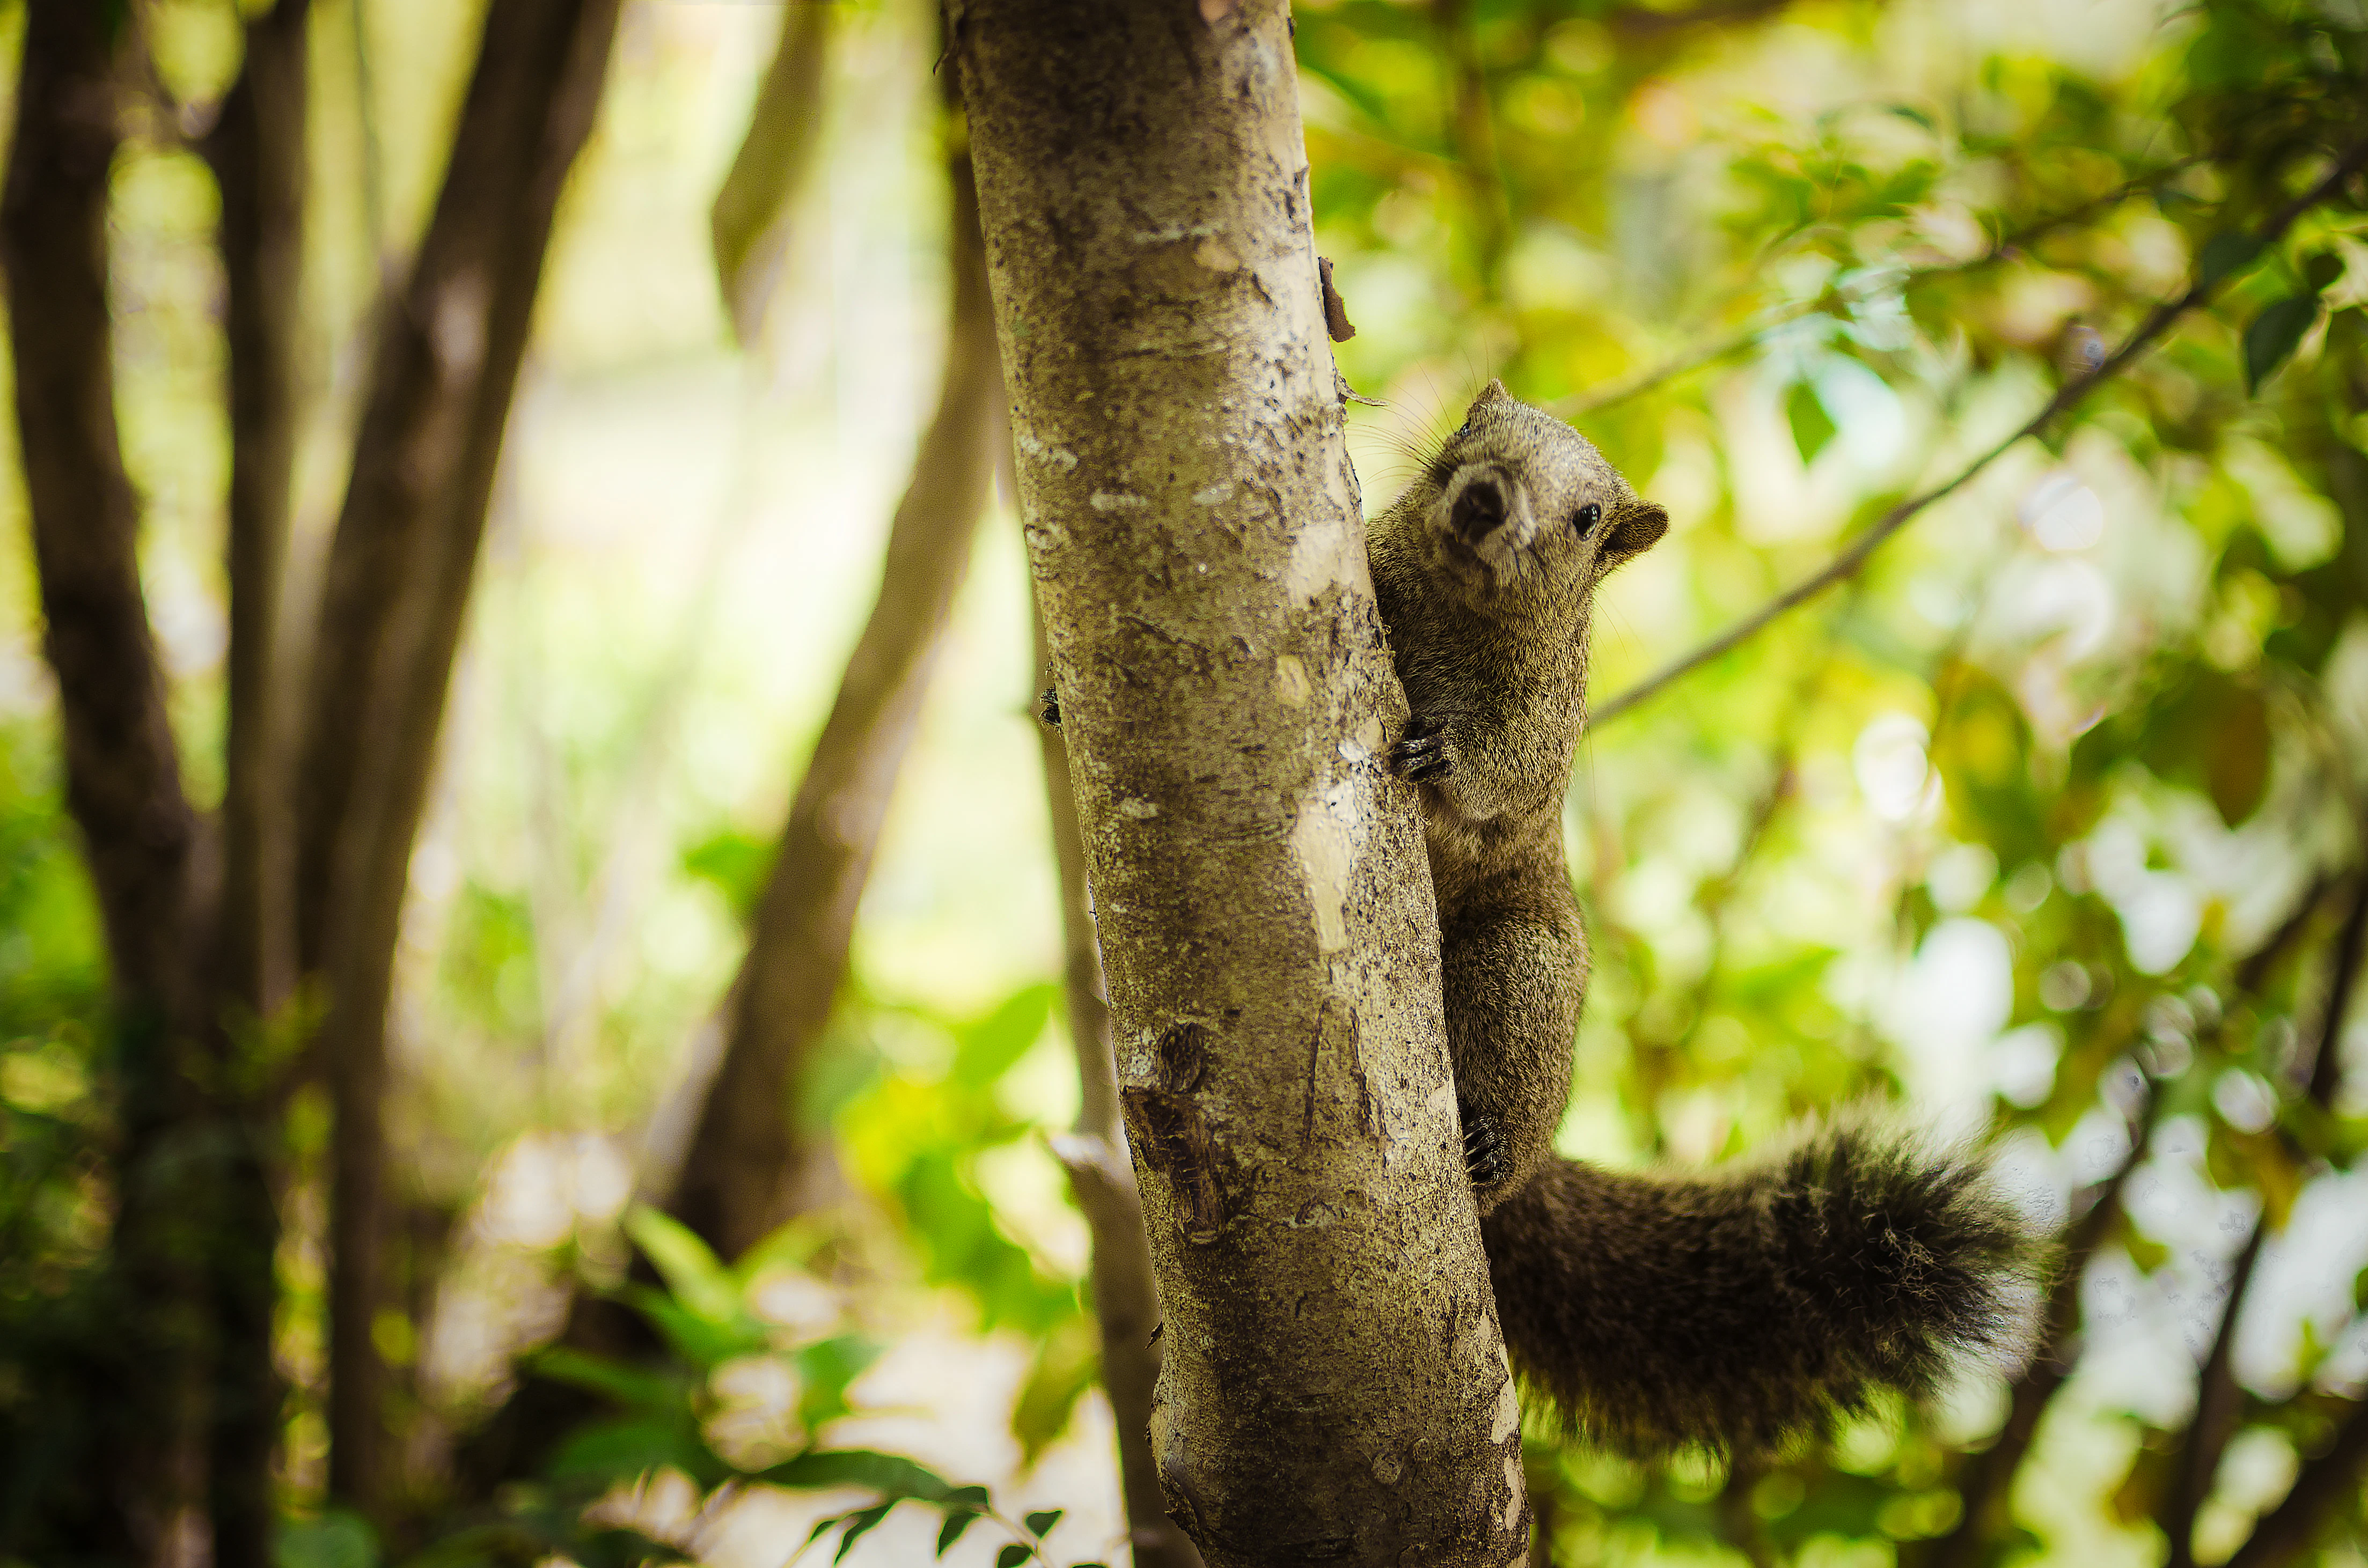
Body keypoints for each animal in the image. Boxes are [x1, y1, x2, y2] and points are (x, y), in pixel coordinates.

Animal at [1368, 380, 2037, 1455]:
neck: (1455, 603)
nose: (1483, 498)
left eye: (1587, 516)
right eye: (1474, 429)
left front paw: (1442, 754)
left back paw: (1487, 1145)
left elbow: (1500, 775)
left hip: (1524, 967)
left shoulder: (1543, 723)